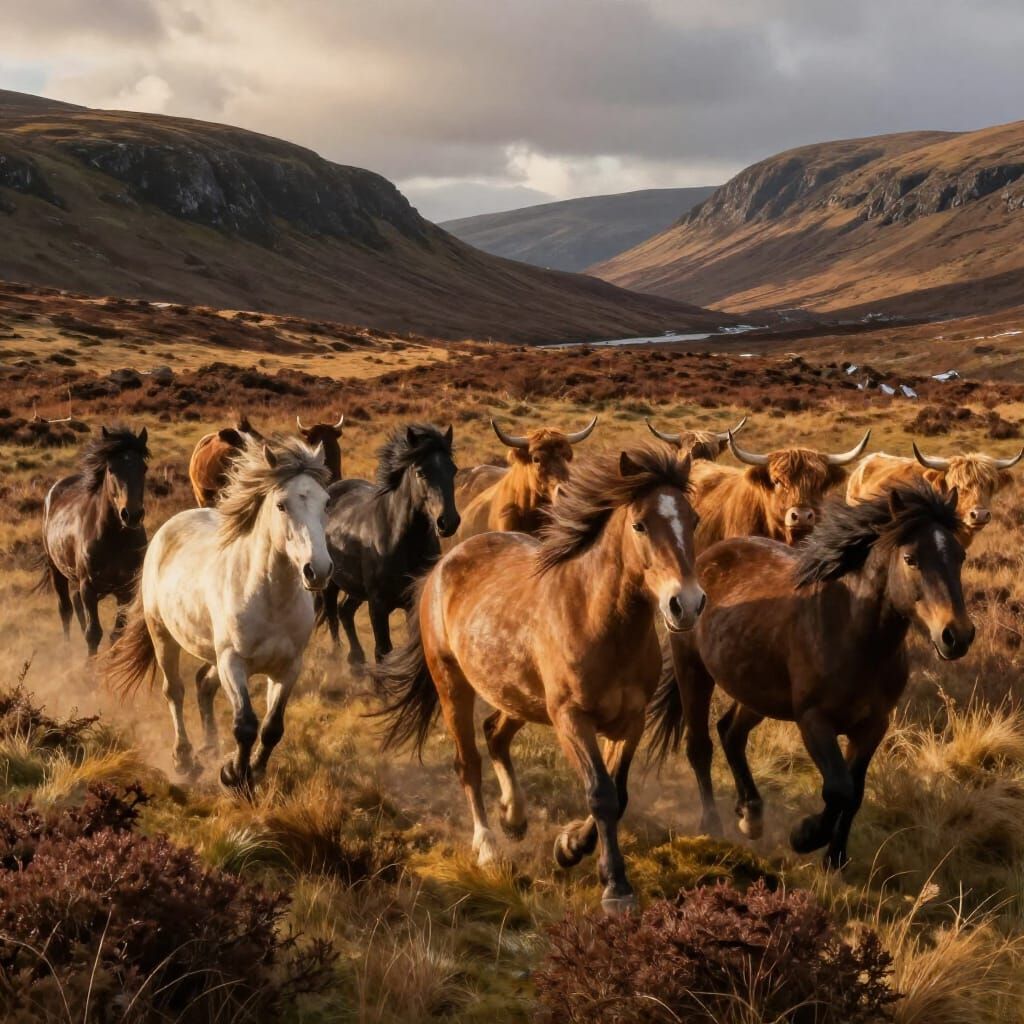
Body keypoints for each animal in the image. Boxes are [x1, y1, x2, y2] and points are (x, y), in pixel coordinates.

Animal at [40, 426, 150, 656]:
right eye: (111, 469)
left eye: (144, 468)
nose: (132, 515)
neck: (115, 540)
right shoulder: (88, 587)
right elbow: (93, 633)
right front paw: (90, 664)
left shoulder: (126, 591)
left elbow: (117, 633)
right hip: (56, 569)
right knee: (65, 608)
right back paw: (67, 648)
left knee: (75, 604)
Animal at [106, 437, 332, 791]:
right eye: (282, 505)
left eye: (326, 502)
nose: (318, 570)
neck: (271, 599)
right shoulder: (233, 662)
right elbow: (245, 725)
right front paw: (234, 776)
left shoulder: (288, 667)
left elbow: (272, 728)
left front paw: (254, 771)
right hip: (163, 635)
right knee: (175, 691)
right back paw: (185, 759)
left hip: (212, 651)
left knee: (203, 683)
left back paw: (210, 747)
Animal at [320, 424, 459, 669]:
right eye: (421, 472)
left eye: (453, 470)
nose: (448, 522)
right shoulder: (378, 605)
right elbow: (383, 651)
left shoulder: (413, 603)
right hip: (332, 582)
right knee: (332, 613)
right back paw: (338, 657)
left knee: (345, 611)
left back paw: (356, 660)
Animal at [373, 445, 704, 912]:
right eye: (640, 524)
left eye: (693, 520)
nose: (686, 604)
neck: (598, 620)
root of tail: (443, 566)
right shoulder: (571, 720)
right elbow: (601, 793)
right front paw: (614, 886)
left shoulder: (631, 721)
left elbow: (619, 793)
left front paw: (570, 846)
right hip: (453, 685)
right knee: (468, 761)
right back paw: (487, 846)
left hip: (516, 696)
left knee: (494, 733)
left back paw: (514, 817)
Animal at [648, 484, 975, 870]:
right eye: (911, 558)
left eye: (960, 556)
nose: (957, 635)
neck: (855, 636)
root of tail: (701, 564)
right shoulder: (813, 720)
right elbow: (838, 787)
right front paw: (805, 836)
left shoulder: (873, 726)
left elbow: (855, 793)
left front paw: (836, 858)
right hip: (693, 671)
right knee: (700, 745)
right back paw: (712, 825)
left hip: (757, 692)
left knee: (731, 733)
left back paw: (751, 815)